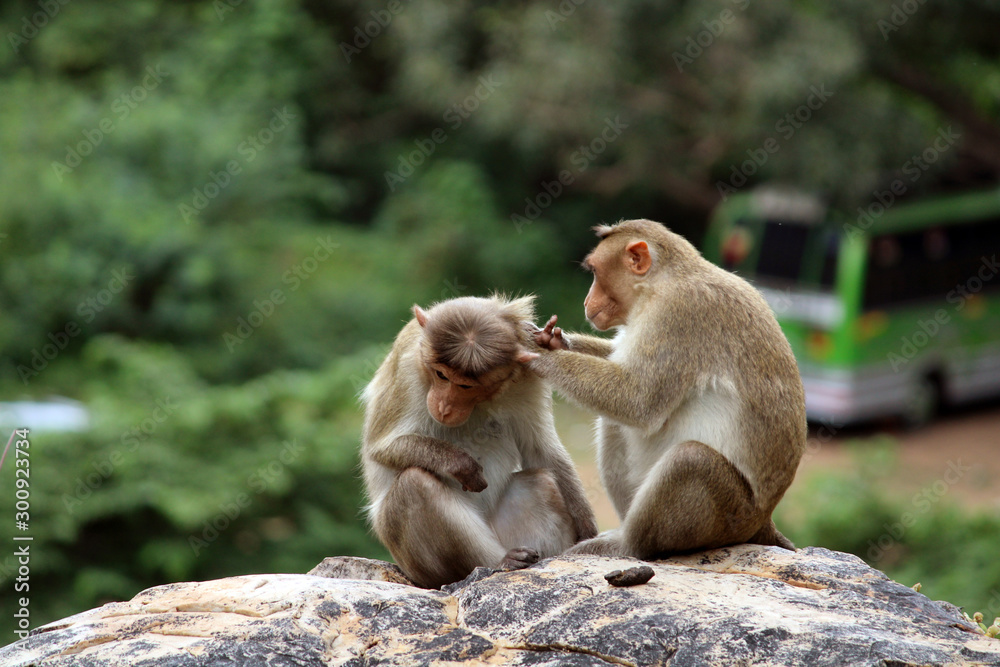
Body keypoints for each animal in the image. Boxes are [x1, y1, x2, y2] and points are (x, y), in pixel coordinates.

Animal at [361, 294, 598, 588]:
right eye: (441, 375)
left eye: (465, 386)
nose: (444, 406)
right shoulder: (406, 368)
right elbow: (381, 448)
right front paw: (461, 464)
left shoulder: (529, 372)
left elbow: (541, 449)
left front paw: (587, 531)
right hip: (418, 565)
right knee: (413, 484)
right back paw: (499, 561)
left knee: (543, 481)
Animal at [525, 219, 806, 559]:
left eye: (594, 272)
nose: (586, 302)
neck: (660, 284)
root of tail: (764, 520)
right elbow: (620, 367)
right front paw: (553, 341)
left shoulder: (678, 315)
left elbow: (638, 400)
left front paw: (540, 354)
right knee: (615, 425)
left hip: (731, 516)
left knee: (690, 459)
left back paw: (628, 546)